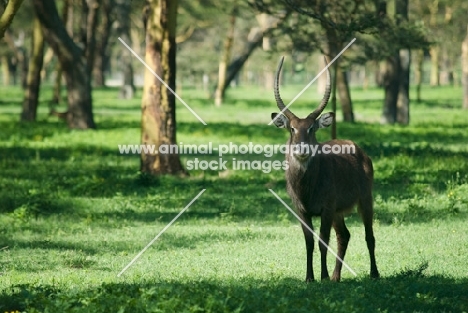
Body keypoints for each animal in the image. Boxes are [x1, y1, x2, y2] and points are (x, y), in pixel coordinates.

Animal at [272, 56, 378, 282]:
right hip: (339, 212)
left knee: (369, 235)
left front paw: (323, 277)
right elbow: (309, 243)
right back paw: (337, 277)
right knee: (344, 236)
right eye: (292, 128)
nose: (302, 149)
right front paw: (310, 277)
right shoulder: (302, 211)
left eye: (312, 128)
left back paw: (374, 273)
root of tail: (359, 149)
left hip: (365, 200)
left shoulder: (327, 209)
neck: (306, 188)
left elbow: (322, 241)